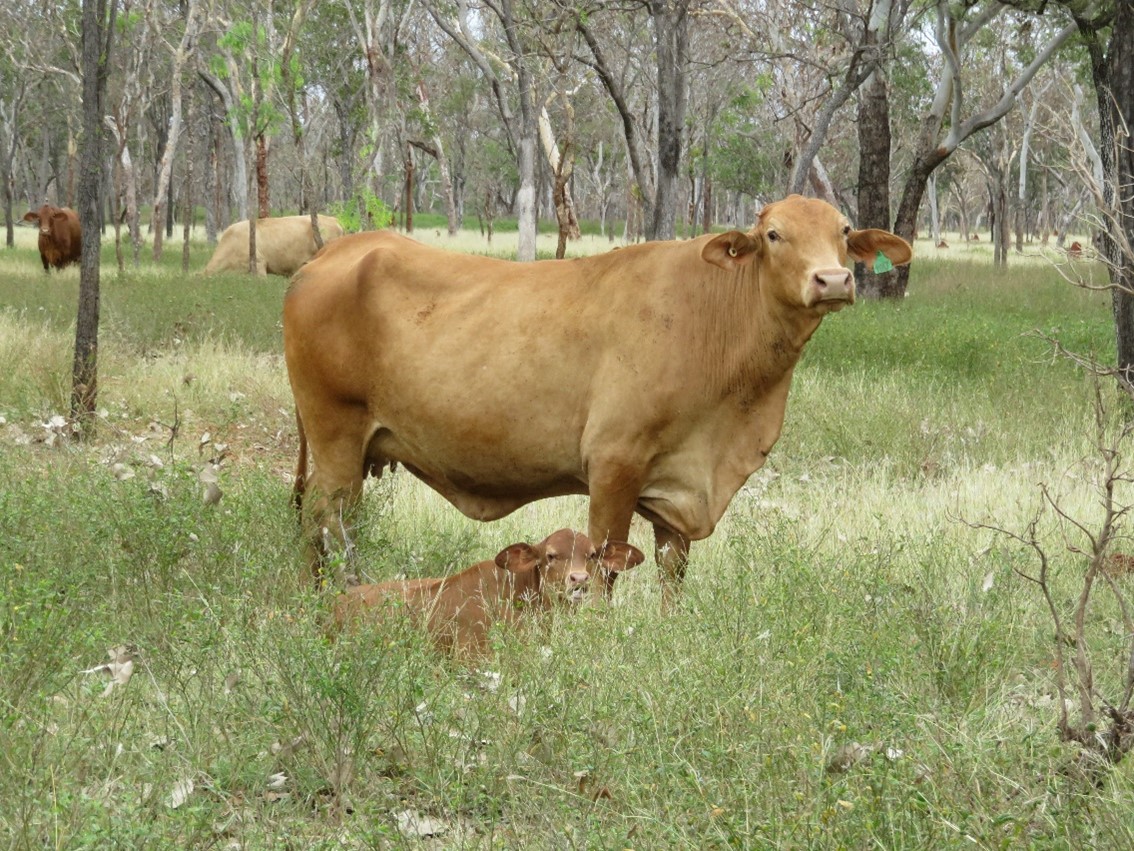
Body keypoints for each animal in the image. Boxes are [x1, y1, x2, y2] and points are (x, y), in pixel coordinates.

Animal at [283, 192, 911, 608]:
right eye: (775, 235)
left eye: (844, 230)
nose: (833, 281)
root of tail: (333, 253)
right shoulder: (614, 465)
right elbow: (606, 564)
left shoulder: (678, 489)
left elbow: (671, 574)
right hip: (335, 441)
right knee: (321, 525)